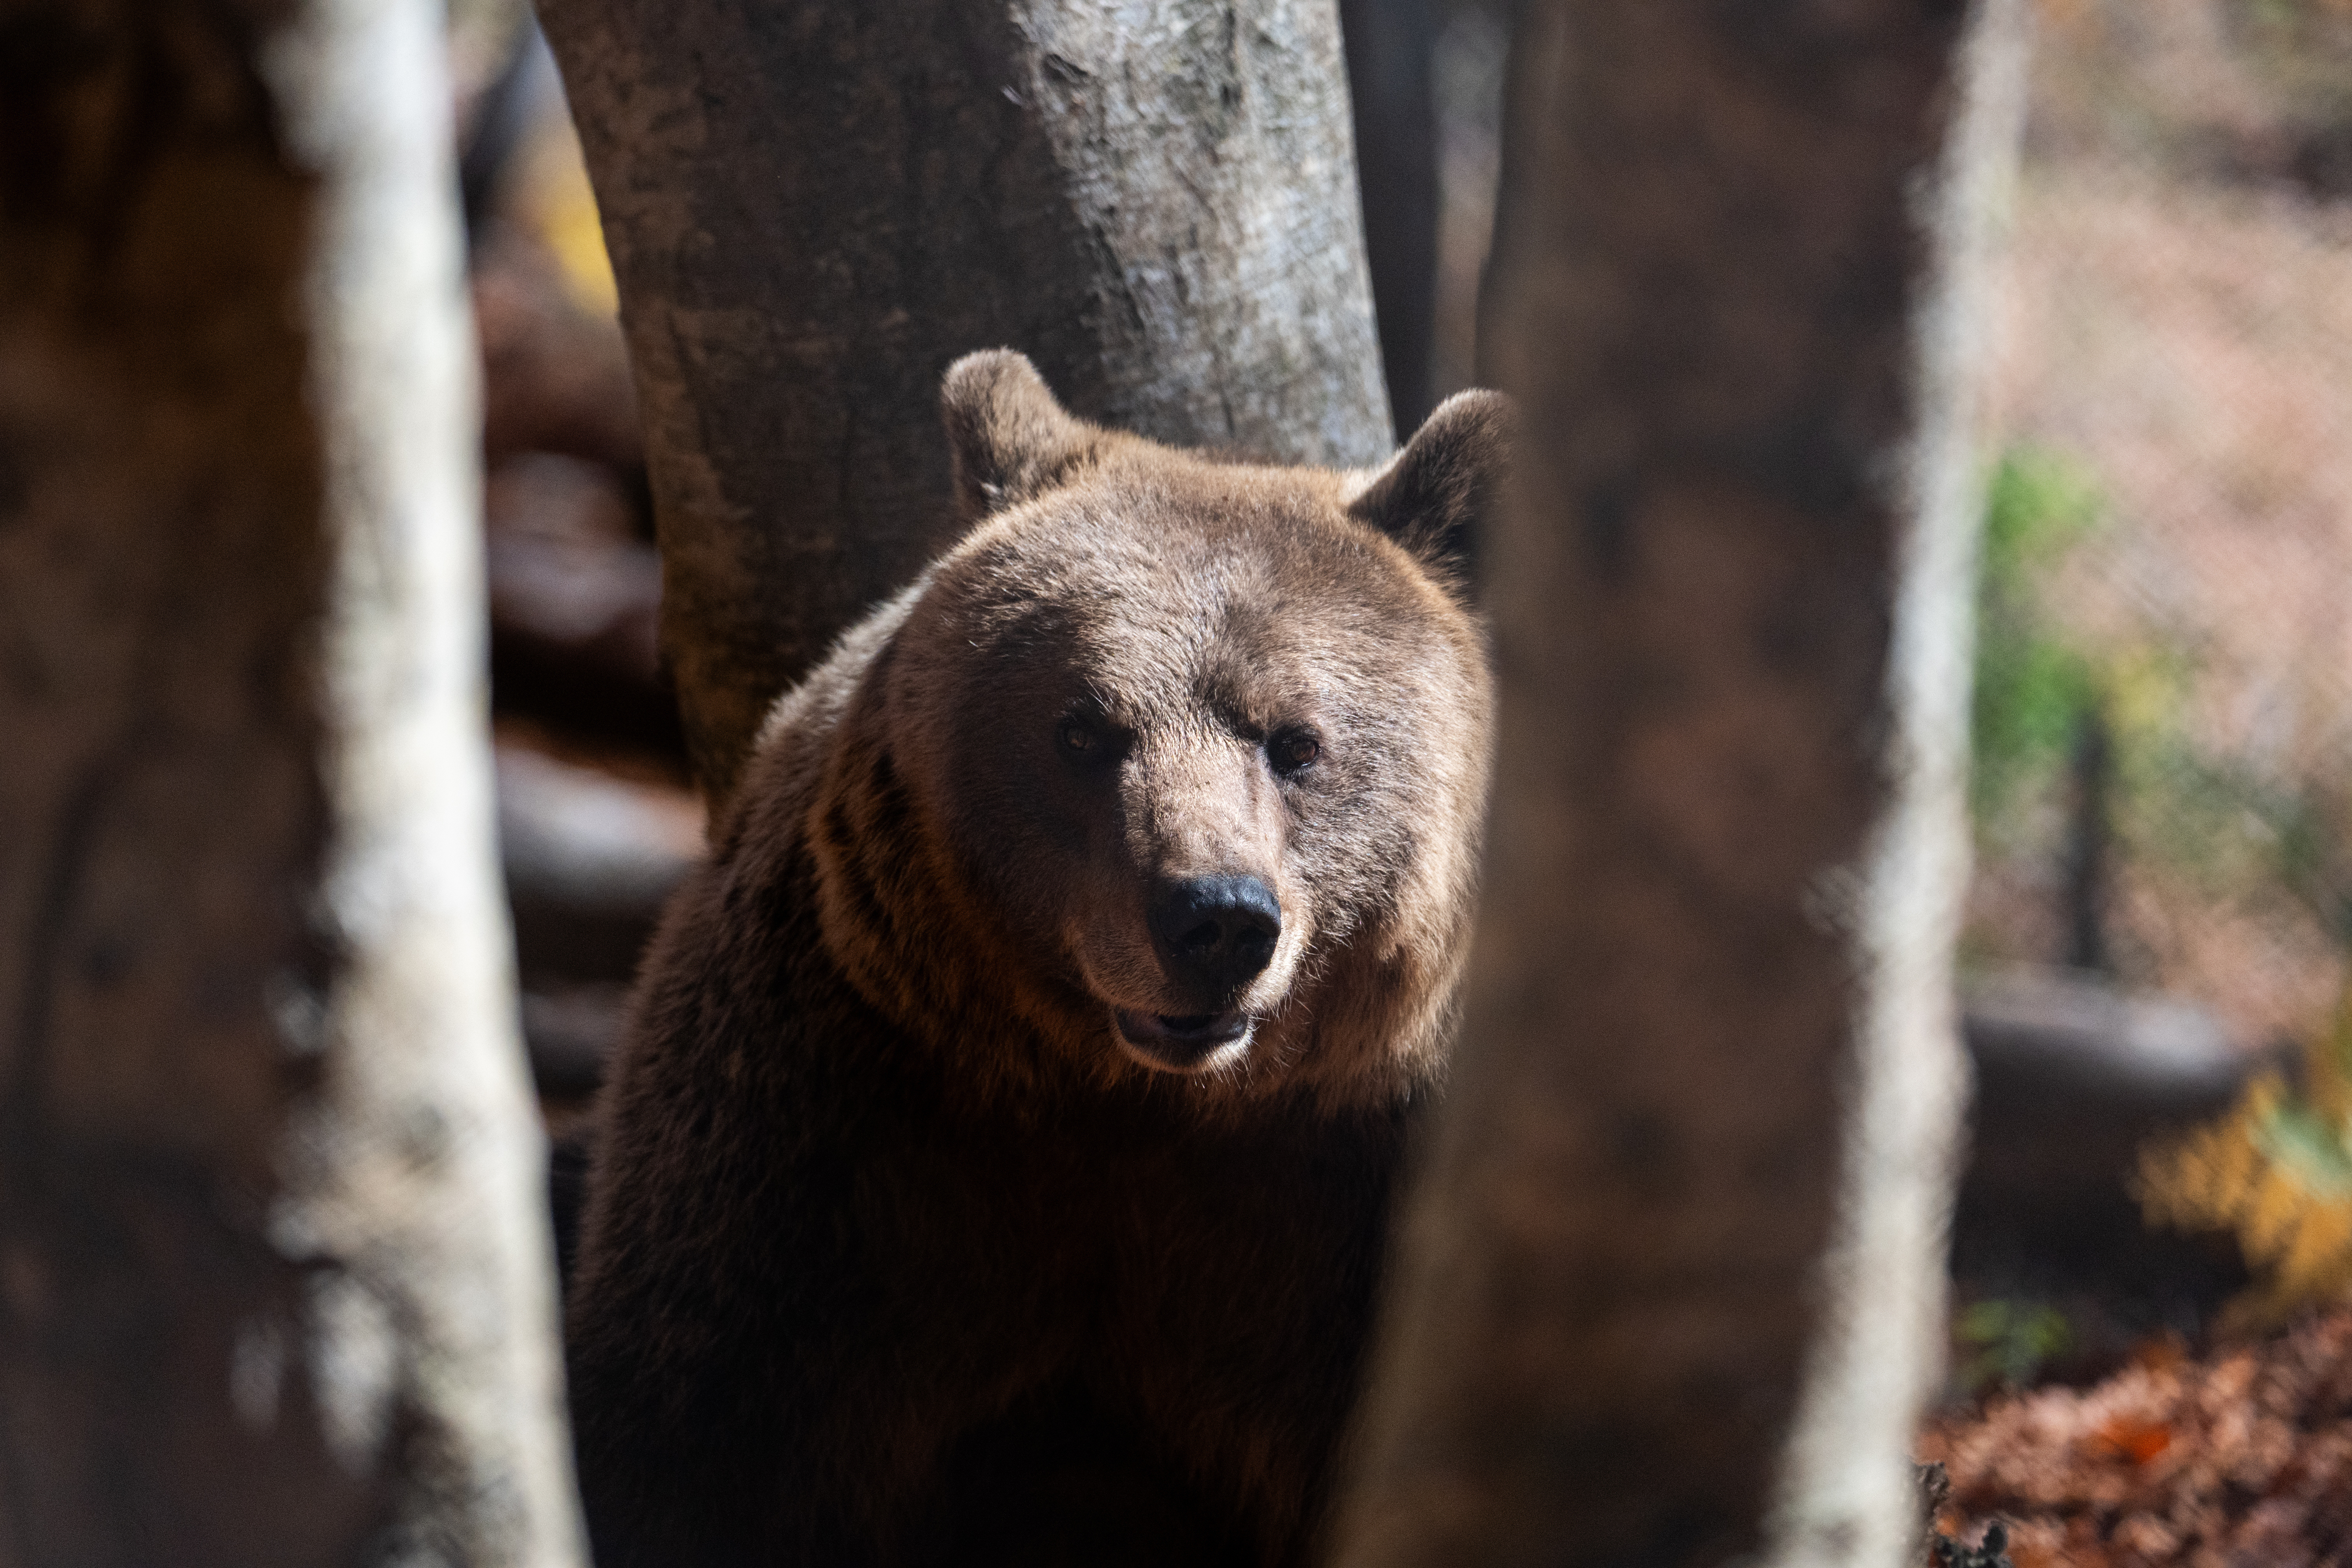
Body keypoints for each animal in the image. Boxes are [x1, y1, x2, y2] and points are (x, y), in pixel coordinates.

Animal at [565, 349, 1508, 1568]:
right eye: (1083, 729)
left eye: (1296, 741)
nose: (1215, 920)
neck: (1135, 1102)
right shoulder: (829, 1145)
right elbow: (699, 1429)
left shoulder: (1360, 1193)